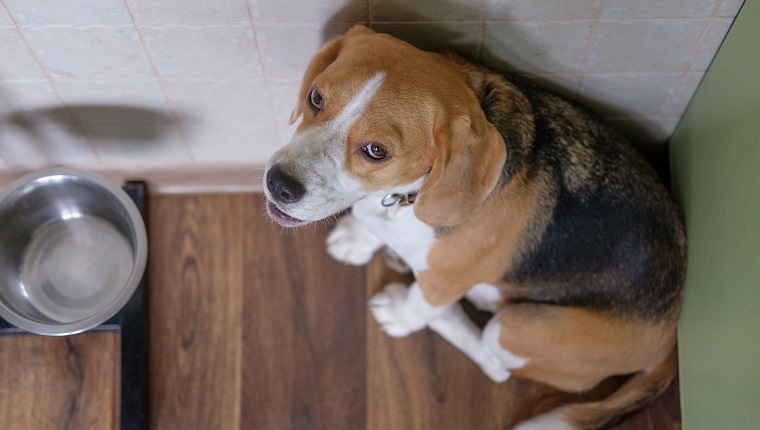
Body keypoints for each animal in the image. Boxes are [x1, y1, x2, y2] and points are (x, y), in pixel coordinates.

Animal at [264, 26, 684, 430]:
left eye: (376, 151)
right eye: (316, 97)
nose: (278, 184)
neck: (407, 197)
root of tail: (672, 335)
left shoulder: (445, 279)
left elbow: (420, 303)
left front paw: (402, 311)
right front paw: (358, 238)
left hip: (517, 327)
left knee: (494, 361)